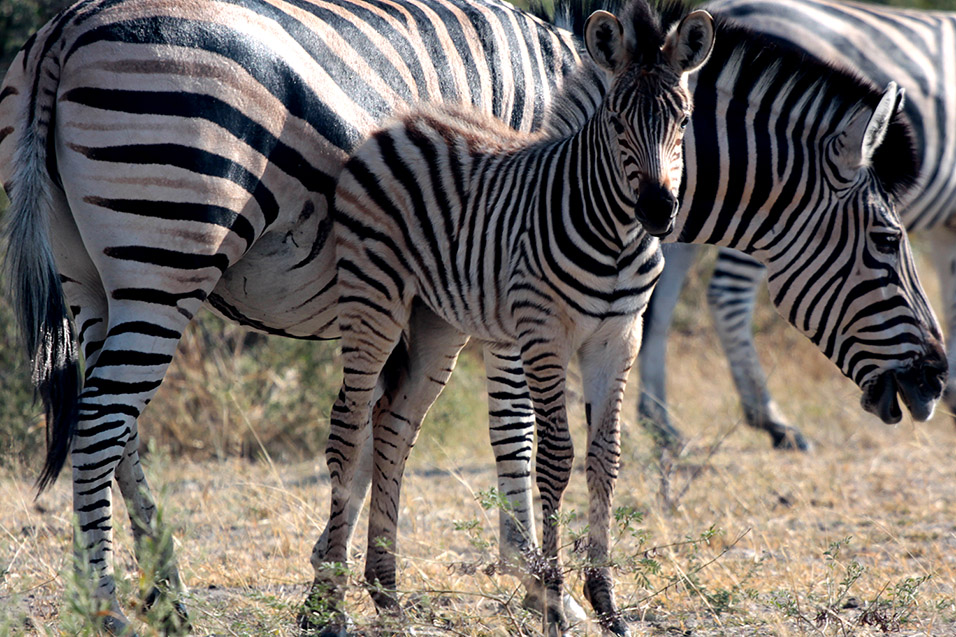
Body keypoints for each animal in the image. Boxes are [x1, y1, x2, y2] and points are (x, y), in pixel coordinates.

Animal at [316, 3, 716, 632]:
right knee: (348, 426)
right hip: (372, 296)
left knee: (393, 424)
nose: (658, 210)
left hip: (437, 323)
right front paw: (553, 600)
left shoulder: (618, 339)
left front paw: (606, 603)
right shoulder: (545, 334)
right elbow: (554, 458)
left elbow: (605, 458)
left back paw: (388, 595)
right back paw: (331, 606)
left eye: (683, 120)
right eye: (616, 122)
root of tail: (403, 121)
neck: (617, 236)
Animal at [636, 0, 956, 450]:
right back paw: (771, 420)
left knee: (662, 297)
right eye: (888, 240)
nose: (934, 382)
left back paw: (660, 421)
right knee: (725, 295)